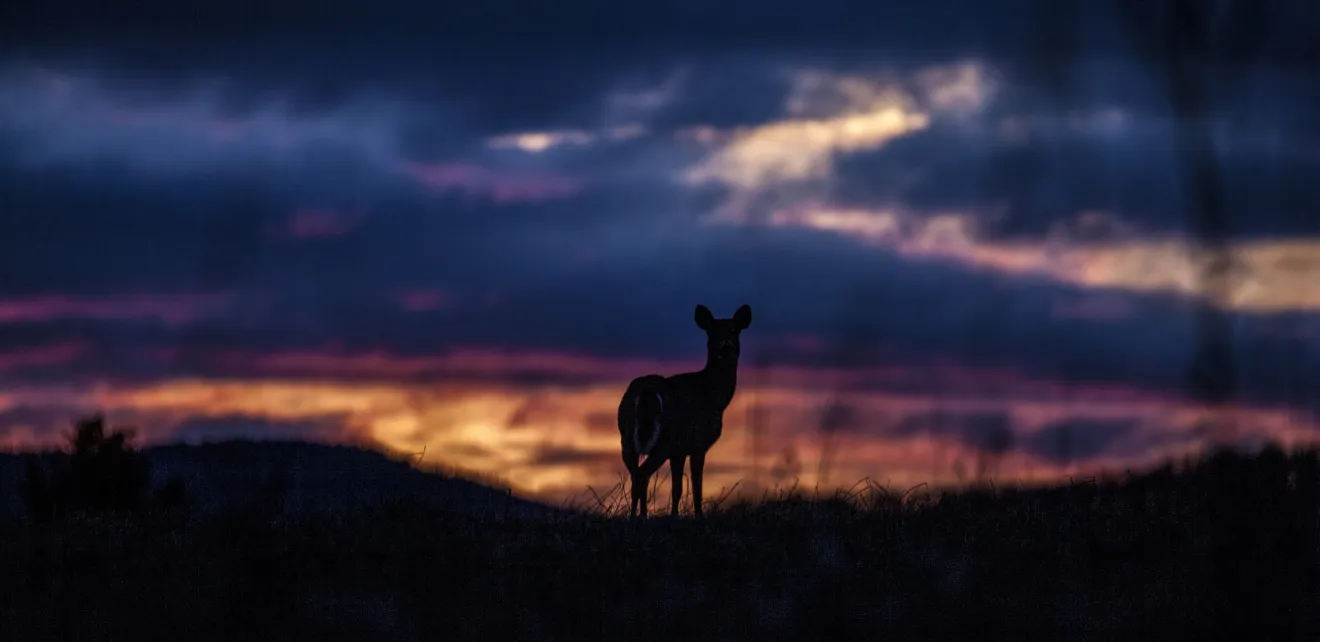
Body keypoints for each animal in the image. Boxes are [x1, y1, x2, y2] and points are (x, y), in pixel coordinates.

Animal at [617, 304, 752, 518]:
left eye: (734, 329)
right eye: (711, 332)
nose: (726, 346)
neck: (714, 397)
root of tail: (646, 391)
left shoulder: (678, 451)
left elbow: (677, 489)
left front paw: (673, 516)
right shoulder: (698, 443)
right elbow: (697, 487)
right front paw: (698, 515)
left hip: (626, 437)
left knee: (636, 476)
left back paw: (636, 517)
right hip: (663, 440)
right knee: (642, 475)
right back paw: (640, 517)